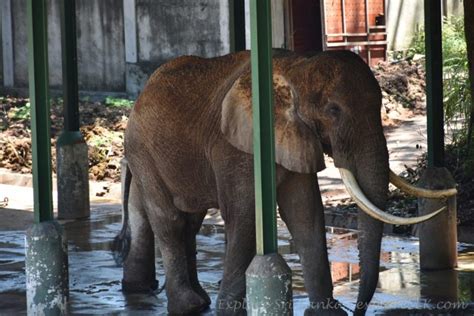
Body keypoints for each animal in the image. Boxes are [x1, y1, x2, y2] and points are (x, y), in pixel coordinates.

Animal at [113, 50, 454, 316]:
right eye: (333, 110)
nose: (358, 311)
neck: (295, 67)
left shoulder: (295, 135)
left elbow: (305, 212)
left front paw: (327, 313)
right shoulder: (237, 146)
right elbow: (245, 216)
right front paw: (229, 310)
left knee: (188, 221)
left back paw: (187, 298)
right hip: (142, 150)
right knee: (169, 220)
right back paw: (190, 305)